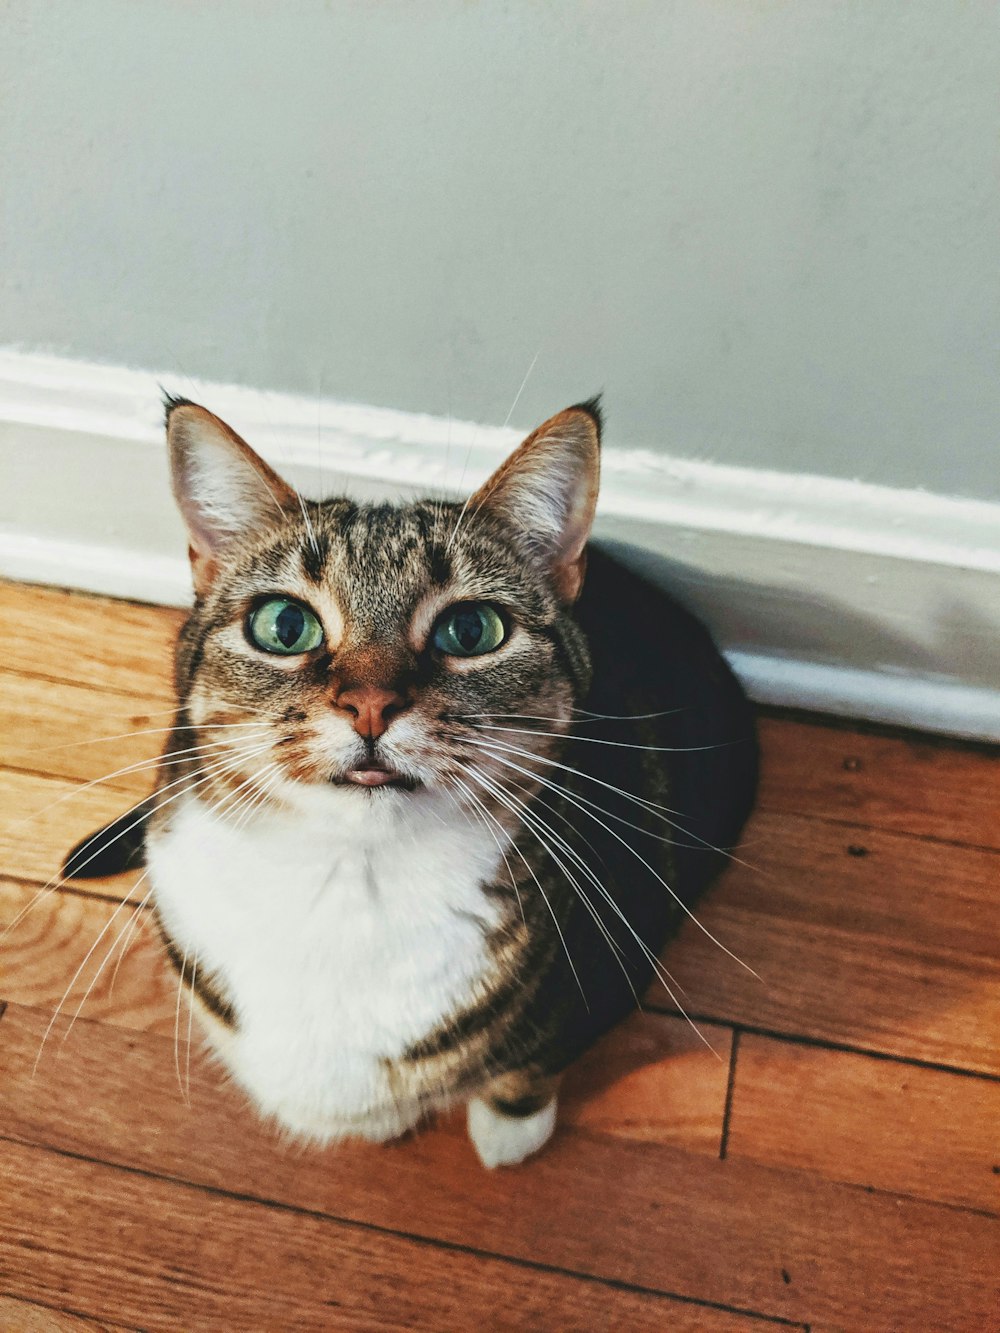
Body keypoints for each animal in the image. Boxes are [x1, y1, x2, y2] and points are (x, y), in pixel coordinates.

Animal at [64, 394, 757, 1167]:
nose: (371, 704)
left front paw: (509, 1130)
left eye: (472, 629)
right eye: (284, 624)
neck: (350, 884)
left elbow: (530, 1063)